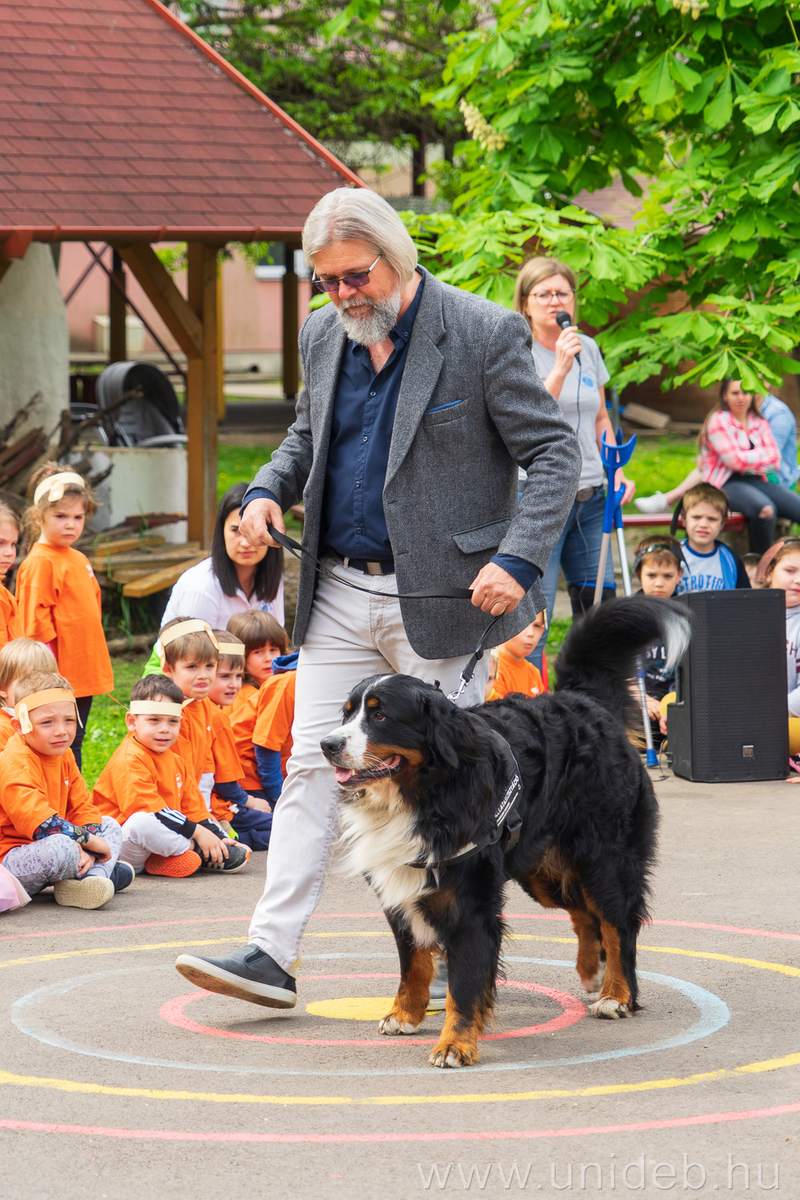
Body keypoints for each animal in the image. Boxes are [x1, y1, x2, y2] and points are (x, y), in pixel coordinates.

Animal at [320, 595, 690, 1069]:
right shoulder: (401, 887)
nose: (327, 744)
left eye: (381, 714)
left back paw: (616, 994)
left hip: (604, 857)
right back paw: (593, 970)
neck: (426, 793)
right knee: (583, 912)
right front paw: (404, 1014)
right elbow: (413, 962)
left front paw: (455, 1044)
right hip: (542, 871)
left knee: (617, 921)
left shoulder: (470, 902)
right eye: (347, 712)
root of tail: (583, 700)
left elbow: (464, 985)